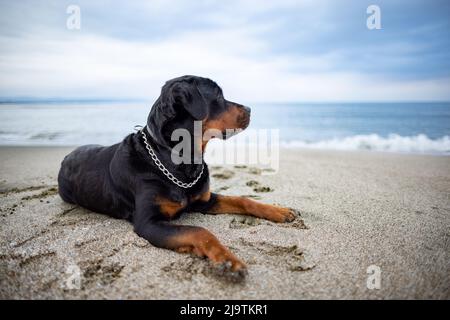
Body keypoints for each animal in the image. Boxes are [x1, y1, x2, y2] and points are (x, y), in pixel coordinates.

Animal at [58, 74, 298, 278]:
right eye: (218, 96)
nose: (249, 108)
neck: (181, 160)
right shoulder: (148, 222)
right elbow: (200, 231)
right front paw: (228, 260)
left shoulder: (203, 200)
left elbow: (242, 200)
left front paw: (278, 211)